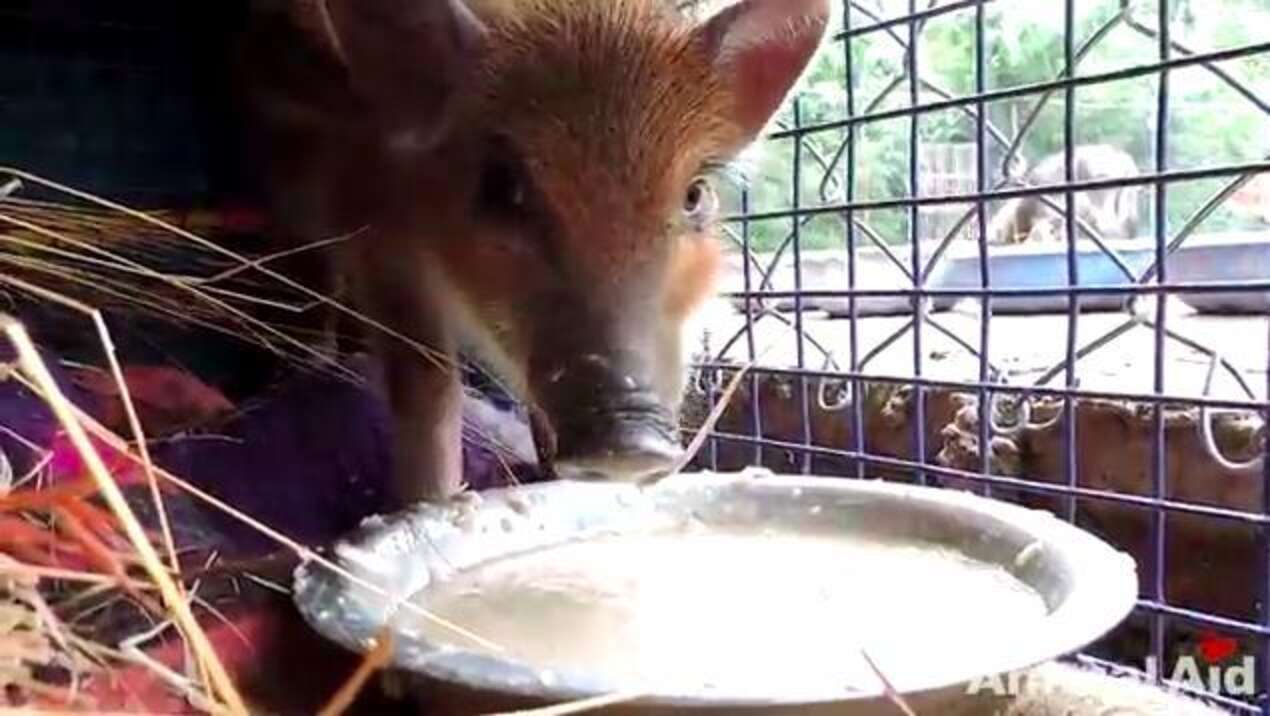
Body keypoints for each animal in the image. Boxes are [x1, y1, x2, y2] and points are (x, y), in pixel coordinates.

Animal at [237, 0, 831, 504]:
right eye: (502, 186)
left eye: (694, 194)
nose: (630, 442)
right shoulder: (375, 237)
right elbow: (427, 381)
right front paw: (427, 503)